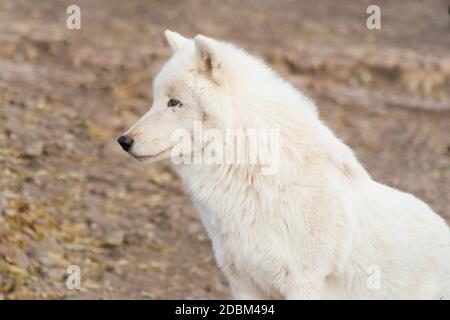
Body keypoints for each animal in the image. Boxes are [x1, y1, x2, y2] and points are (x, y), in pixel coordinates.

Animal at [118, 30, 448, 300]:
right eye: (155, 99)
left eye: (174, 102)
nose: (123, 140)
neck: (252, 176)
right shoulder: (242, 282)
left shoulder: (304, 283)